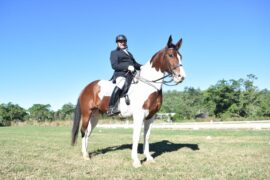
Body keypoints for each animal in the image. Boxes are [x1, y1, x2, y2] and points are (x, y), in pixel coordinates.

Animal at [70, 35, 187, 167]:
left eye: (181, 56)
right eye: (170, 55)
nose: (181, 77)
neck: (148, 85)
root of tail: (87, 87)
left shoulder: (151, 116)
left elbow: (147, 136)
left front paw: (149, 158)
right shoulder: (139, 115)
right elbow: (136, 136)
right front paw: (136, 161)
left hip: (95, 115)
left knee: (88, 132)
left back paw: (87, 154)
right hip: (86, 113)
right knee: (83, 131)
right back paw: (85, 155)